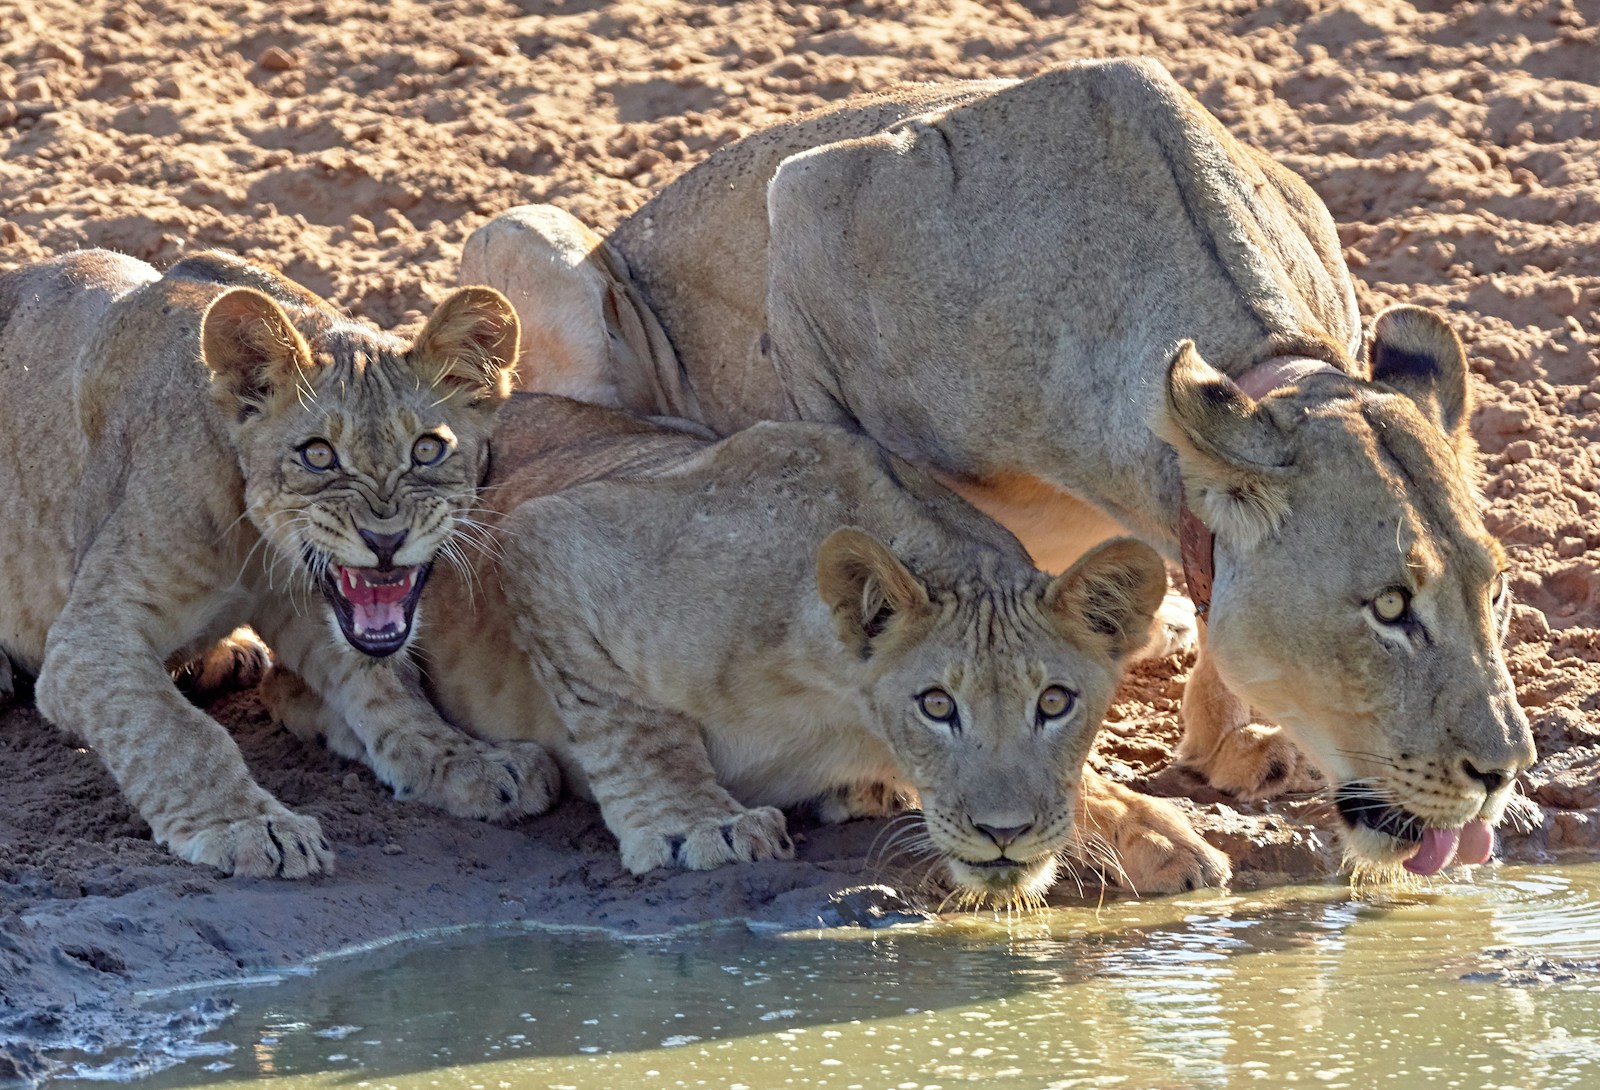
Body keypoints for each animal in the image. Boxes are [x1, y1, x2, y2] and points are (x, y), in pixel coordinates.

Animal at [0, 249, 559, 877]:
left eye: (427, 449)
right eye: (317, 455)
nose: (385, 539)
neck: (260, 545)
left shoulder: (313, 608)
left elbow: (390, 689)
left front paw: (473, 763)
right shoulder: (89, 638)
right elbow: (174, 730)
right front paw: (247, 827)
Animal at [266, 393, 1231, 899]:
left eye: (1055, 703)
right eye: (937, 706)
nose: (1004, 835)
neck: (844, 701)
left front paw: (1152, 831)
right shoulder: (552, 540)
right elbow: (636, 724)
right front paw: (697, 826)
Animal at [462, 57, 1534, 877]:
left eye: (1497, 595)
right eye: (1390, 607)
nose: (1502, 772)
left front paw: (1234, 737)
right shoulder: (806, 215)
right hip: (519, 242)